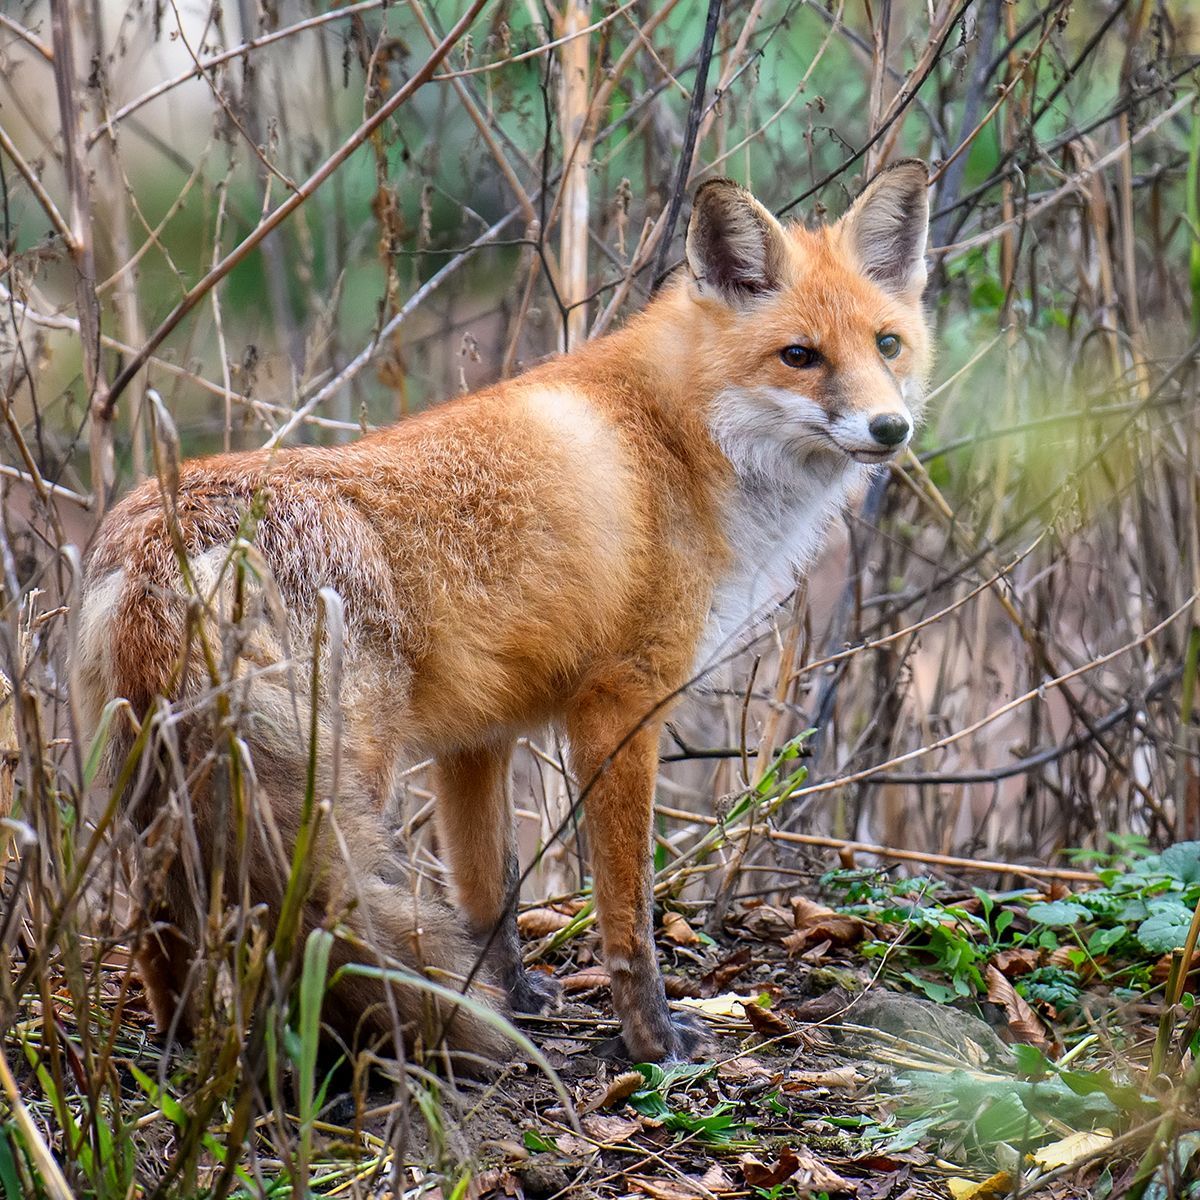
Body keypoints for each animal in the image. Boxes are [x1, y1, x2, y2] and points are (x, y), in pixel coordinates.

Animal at [74, 160, 932, 1065]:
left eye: (887, 344)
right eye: (800, 356)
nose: (890, 427)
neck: (680, 437)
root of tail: (171, 540)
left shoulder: (477, 736)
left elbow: (494, 893)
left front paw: (512, 998)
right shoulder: (621, 705)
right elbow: (629, 913)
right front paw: (652, 1039)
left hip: (159, 788)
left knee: (155, 924)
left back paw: (181, 1042)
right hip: (345, 775)